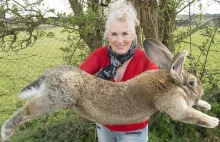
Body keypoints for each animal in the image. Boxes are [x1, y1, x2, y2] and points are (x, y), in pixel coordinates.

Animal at [0, 38, 219, 140]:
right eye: (192, 83)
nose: (201, 91)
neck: (169, 81)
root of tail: (49, 75)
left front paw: (206, 105)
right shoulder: (175, 106)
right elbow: (190, 115)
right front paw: (213, 121)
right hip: (55, 99)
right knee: (26, 110)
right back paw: (6, 131)